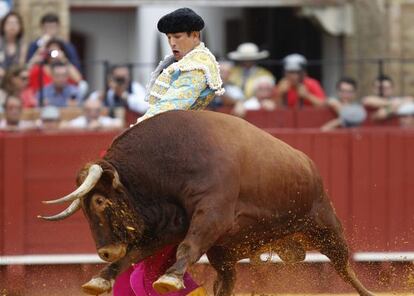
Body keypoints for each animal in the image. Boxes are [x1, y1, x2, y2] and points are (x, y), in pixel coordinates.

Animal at [39, 110, 376, 296]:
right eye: (83, 208)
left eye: (98, 200)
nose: (105, 251)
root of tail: (308, 163)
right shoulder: (169, 226)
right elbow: (135, 254)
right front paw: (99, 279)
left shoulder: (212, 215)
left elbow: (186, 247)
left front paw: (169, 279)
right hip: (224, 254)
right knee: (225, 284)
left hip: (326, 226)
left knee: (346, 268)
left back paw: (369, 291)